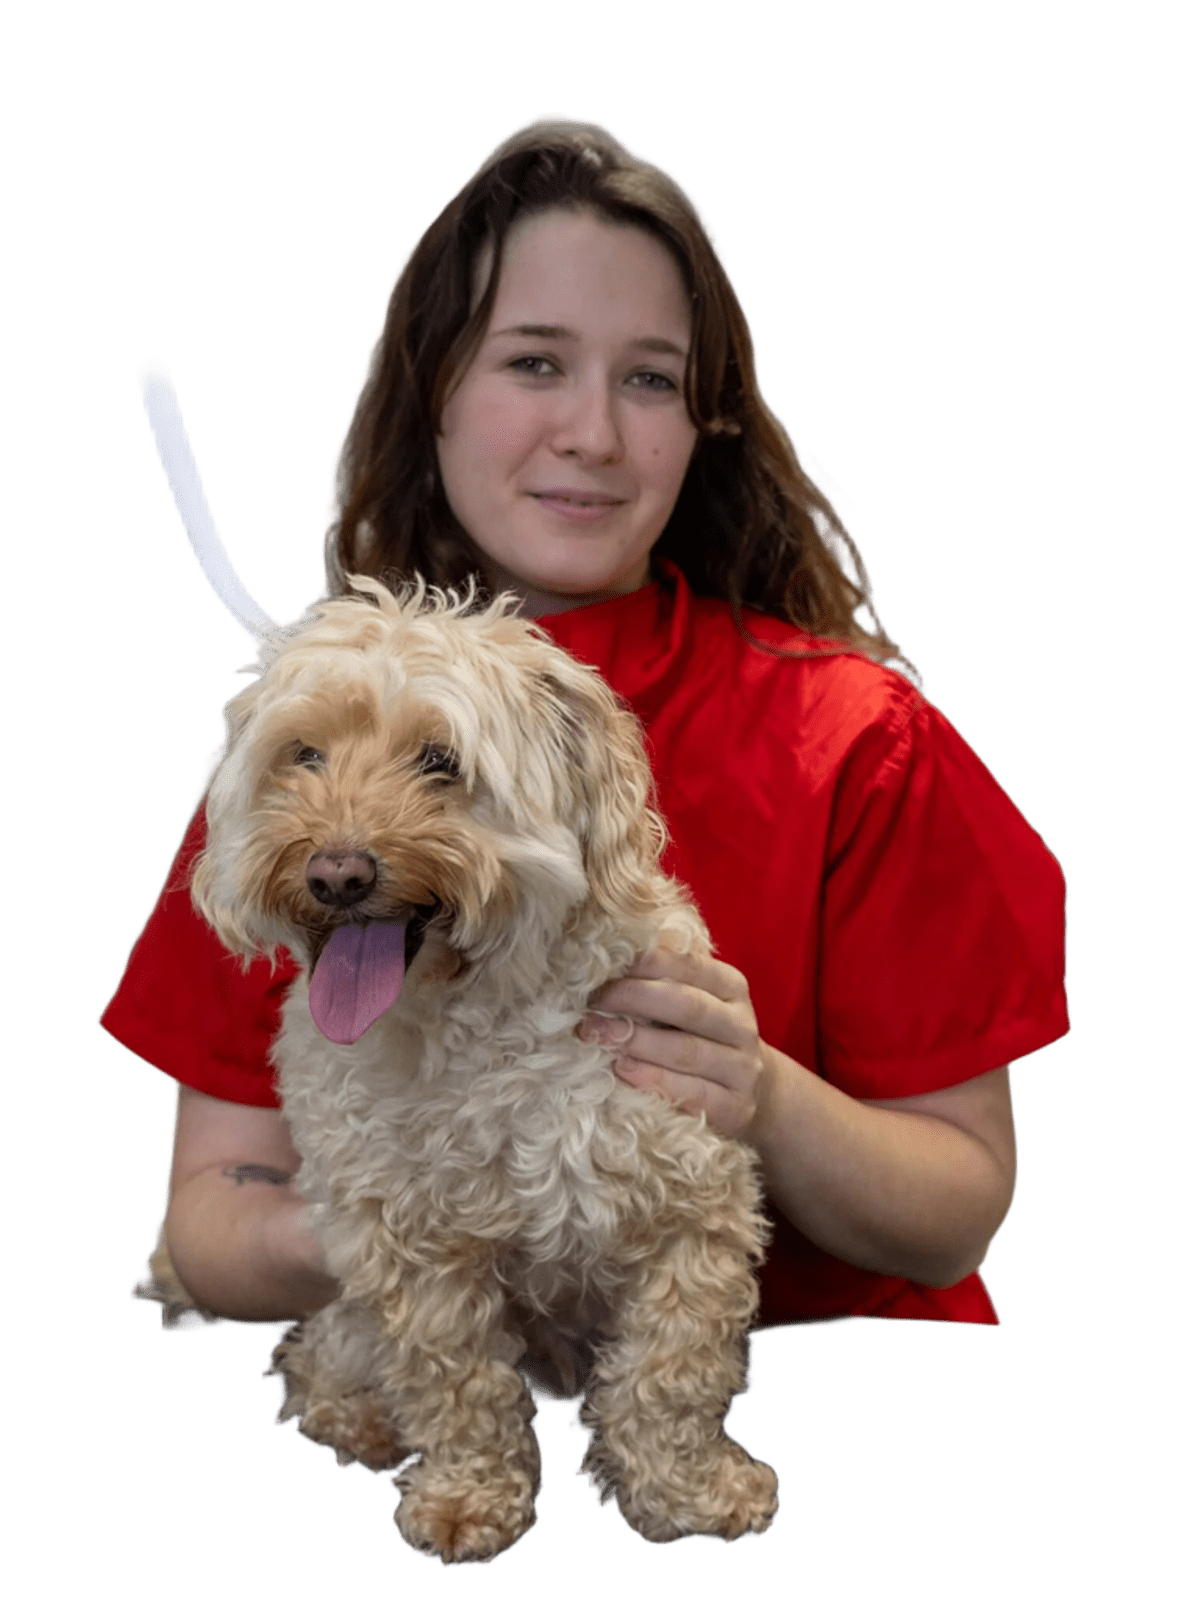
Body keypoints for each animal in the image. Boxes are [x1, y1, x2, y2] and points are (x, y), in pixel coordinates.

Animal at [145, 575, 778, 1563]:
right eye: (305, 754)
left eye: (441, 760)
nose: (335, 874)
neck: (486, 1027)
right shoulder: (405, 1246)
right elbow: (458, 1385)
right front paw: (468, 1499)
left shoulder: (695, 1207)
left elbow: (671, 1375)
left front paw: (689, 1492)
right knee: (318, 1360)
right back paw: (360, 1422)